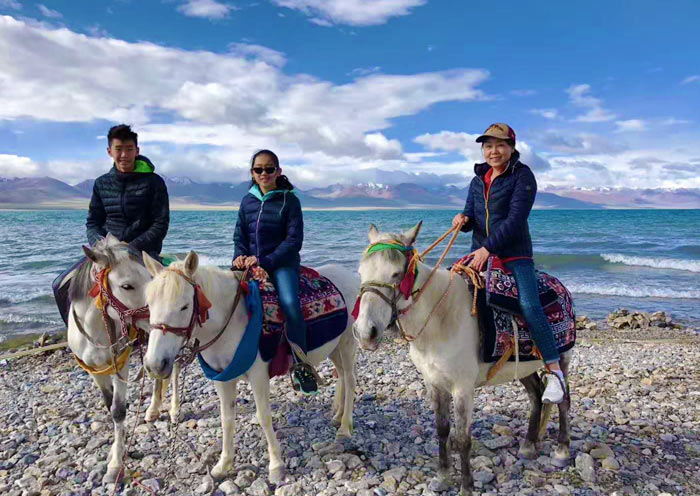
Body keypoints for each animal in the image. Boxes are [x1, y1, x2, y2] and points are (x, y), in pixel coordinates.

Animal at [67, 234, 178, 482]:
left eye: (151, 278)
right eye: (126, 285)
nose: (161, 317)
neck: (98, 331)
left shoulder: (122, 364)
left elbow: (118, 410)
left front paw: (116, 464)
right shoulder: (95, 371)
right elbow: (110, 406)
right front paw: (115, 449)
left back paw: (174, 410)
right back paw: (153, 410)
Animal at [144, 250, 360, 482]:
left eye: (184, 306)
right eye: (149, 304)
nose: (155, 364)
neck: (231, 322)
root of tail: (351, 276)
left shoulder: (258, 375)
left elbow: (263, 416)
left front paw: (276, 465)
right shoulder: (222, 378)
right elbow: (227, 418)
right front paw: (223, 465)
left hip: (347, 344)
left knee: (350, 380)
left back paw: (345, 427)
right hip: (334, 348)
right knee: (341, 377)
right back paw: (337, 416)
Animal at [352, 225, 572, 496]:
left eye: (395, 273)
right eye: (360, 273)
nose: (365, 332)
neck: (441, 317)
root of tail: (561, 287)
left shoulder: (462, 389)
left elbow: (462, 439)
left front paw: (466, 486)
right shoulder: (434, 383)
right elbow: (442, 430)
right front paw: (443, 477)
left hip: (563, 358)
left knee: (563, 399)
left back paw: (562, 451)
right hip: (523, 366)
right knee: (536, 395)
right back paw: (528, 446)